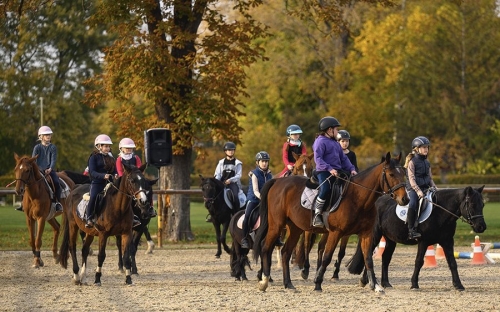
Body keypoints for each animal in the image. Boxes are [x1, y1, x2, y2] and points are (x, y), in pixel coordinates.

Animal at [252, 151, 408, 292]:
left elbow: (368, 258)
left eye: (403, 173)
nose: (405, 199)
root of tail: (277, 182)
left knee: (285, 252)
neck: (357, 198)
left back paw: (288, 284)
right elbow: (327, 257)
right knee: (265, 247)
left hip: (295, 228)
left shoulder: (366, 234)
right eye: (391, 174)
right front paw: (317, 283)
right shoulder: (335, 233)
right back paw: (264, 281)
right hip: (276, 225)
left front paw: (375, 285)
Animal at [346, 185, 486, 290]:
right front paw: (414, 284)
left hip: (391, 239)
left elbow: (452, 262)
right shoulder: (423, 242)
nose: (481, 227)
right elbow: (419, 262)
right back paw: (366, 281)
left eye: (483, 205)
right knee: (368, 253)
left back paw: (385, 283)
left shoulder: (447, 242)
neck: (440, 212)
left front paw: (458, 285)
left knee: (385, 258)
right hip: (375, 236)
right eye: (472, 204)